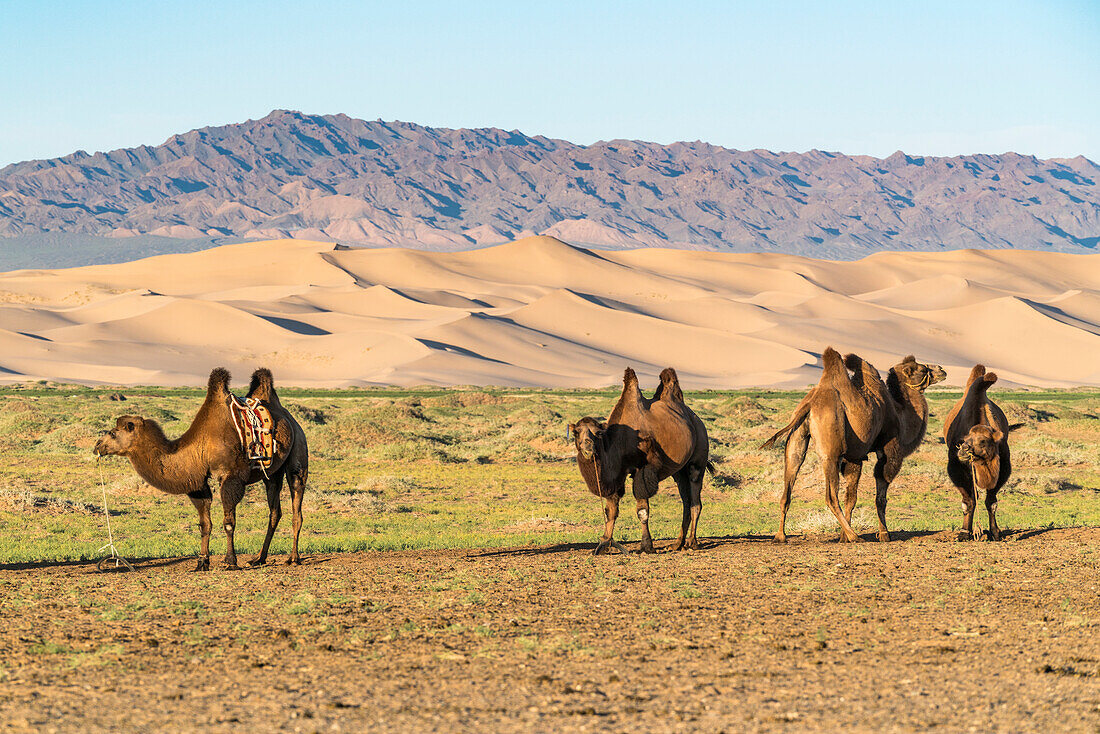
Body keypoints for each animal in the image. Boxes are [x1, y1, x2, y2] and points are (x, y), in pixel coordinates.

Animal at [93, 369, 310, 572]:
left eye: (113, 433)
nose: (97, 446)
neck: (202, 445)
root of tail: (290, 418)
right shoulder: (198, 483)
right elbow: (205, 524)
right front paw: (202, 562)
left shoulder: (231, 477)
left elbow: (228, 522)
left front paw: (230, 561)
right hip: (272, 473)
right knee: (274, 511)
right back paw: (259, 558)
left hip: (298, 454)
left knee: (296, 506)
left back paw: (293, 558)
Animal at [567, 369, 712, 554]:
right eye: (576, 432)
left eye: (597, 433)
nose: (588, 445)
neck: (619, 441)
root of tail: (697, 420)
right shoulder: (617, 475)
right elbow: (611, 510)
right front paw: (604, 543)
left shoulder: (641, 469)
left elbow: (642, 510)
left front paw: (646, 546)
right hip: (679, 472)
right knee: (686, 502)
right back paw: (677, 543)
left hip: (698, 459)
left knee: (695, 501)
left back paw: (692, 543)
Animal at [765, 349, 946, 545]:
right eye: (921, 369)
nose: (942, 369)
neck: (899, 413)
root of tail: (810, 404)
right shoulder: (889, 450)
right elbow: (880, 495)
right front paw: (883, 534)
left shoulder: (855, 456)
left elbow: (851, 498)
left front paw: (843, 536)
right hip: (831, 449)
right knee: (830, 496)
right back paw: (855, 536)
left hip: (796, 438)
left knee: (789, 481)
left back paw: (780, 536)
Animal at [941, 365, 1016, 539]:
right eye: (963, 440)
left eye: (983, 441)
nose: (963, 450)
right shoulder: (956, 468)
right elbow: (969, 502)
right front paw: (964, 532)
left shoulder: (1003, 468)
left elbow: (991, 502)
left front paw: (995, 532)